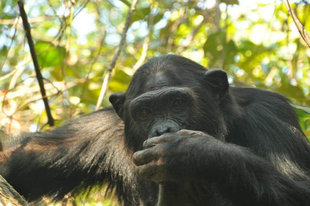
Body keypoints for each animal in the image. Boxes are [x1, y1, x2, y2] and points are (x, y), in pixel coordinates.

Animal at [0, 54, 310, 206]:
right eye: (146, 111)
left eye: (177, 102)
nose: (162, 129)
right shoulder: (97, 130)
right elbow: (17, 164)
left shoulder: (271, 115)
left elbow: (301, 188)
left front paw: (191, 154)